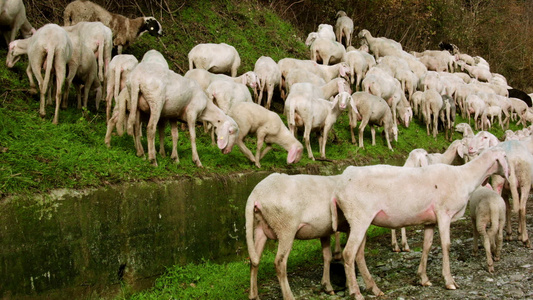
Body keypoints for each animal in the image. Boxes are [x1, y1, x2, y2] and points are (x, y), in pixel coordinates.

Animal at [334, 145, 510, 298]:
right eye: (505, 156)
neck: (464, 177)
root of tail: (341, 184)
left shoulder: (430, 220)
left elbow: (427, 245)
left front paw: (423, 278)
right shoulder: (444, 213)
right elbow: (446, 245)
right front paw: (449, 281)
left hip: (361, 221)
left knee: (359, 255)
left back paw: (374, 289)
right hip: (359, 218)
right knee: (348, 253)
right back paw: (356, 293)